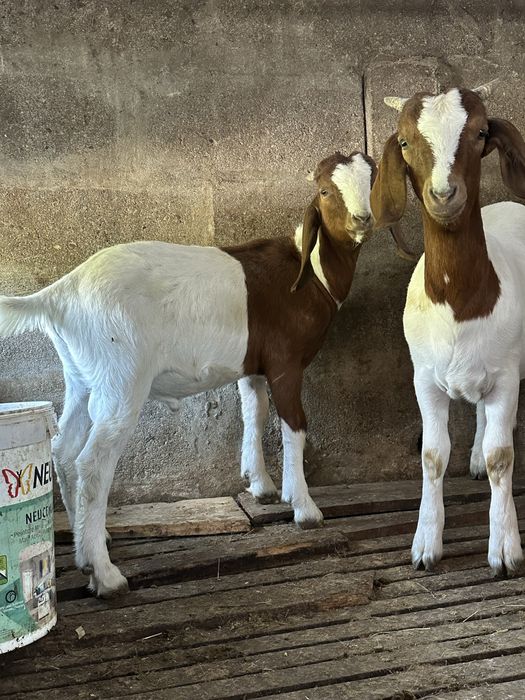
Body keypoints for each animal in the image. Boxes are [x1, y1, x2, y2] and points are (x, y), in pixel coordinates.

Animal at [0, 151, 380, 597]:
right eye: (324, 190)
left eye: (371, 178)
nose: (362, 219)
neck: (310, 274)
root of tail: (60, 293)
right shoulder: (286, 363)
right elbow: (295, 424)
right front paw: (304, 507)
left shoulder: (253, 365)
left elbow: (255, 412)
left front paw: (262, 486)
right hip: (121, 378)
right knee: (92, 464)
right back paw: (105, 573)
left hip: (82, 376)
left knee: (62, 449)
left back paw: (87, 542)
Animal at [371, 83, 525, 575]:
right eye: (403, 142)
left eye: (480, 134)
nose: (443, 194)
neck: (459, 301)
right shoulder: (423, 379)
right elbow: (433, 456)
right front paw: (425, 545)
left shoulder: (506, 376)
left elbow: (502, 457)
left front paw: (504, 549)